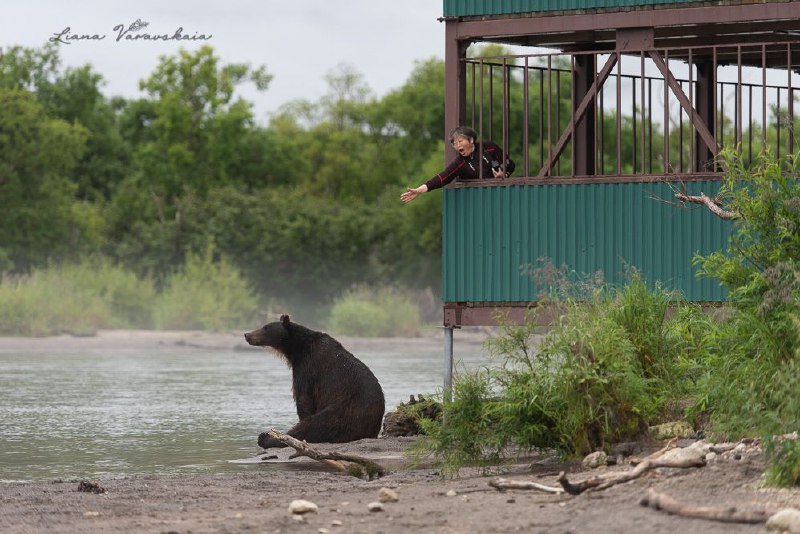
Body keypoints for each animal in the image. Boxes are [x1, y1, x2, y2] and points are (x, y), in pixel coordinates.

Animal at [242, 316, 386, 450]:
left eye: (265, 328)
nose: (247, 335)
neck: (297, 349)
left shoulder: (308, 368)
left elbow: (304, 400)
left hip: (343, 412)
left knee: (313, 425)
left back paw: (265, 437)